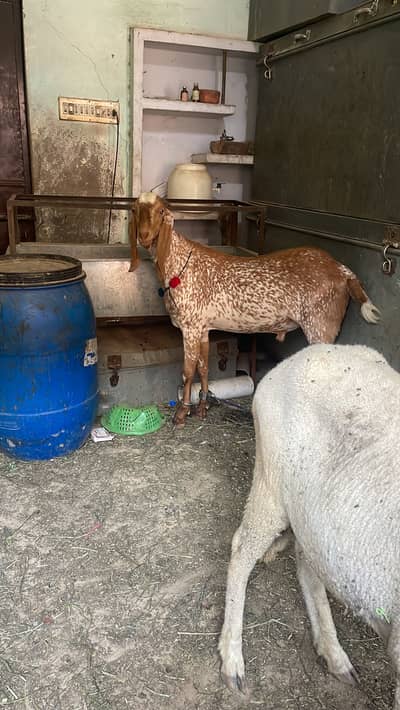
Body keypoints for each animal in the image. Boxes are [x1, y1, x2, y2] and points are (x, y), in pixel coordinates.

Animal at [129, 193, 380, 427]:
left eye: (161, 211)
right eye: (135, 210)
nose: (144, 236)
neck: (180, 265)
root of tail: (343, 272)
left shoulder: (190, 326)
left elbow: (188, 370)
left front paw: (182, 413)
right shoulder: (202, 328)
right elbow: (204, 368)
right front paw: (202, 407)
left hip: (320, 325)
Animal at [219, 344, 400, 707]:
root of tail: (302, 354)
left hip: (313, 512)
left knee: (307, 565)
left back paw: (333, 652)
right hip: (271, 480)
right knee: (242, 548)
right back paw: (232, 660)